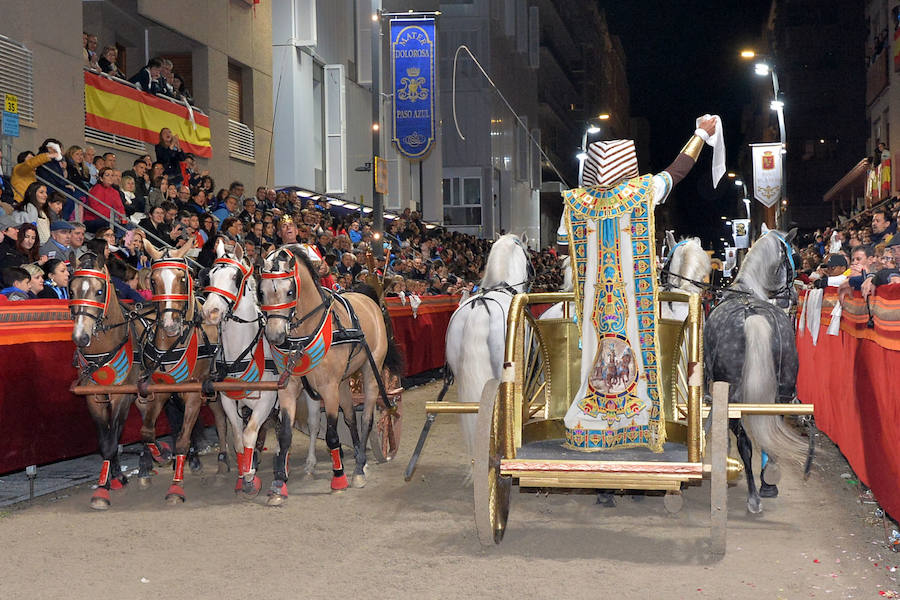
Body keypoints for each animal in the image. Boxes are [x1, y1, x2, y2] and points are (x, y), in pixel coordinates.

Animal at [71, 251, 152, 508]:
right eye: (71, 290)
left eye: (99, 292)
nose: (81, 336)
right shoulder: (94, 398)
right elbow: (106, 438)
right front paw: (114, 477)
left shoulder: (120, 397)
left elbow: (113, 438)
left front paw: (104, 488)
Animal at [142, 239, 229, 502]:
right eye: (153, 281)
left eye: (182, 278)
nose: (170, 325)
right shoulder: (160, 390)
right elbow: (147, 430)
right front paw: (159, 455)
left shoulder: (193, 394)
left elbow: (182, 439)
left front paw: (176, 487)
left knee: (222, 421)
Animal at [256, 246, 398, 490]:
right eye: (262, 293)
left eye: (290, 292)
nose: (275, 336)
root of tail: (368, 298)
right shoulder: (290, 387)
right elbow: (285, 434)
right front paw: (279, 482)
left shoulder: (328, 387)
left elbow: (332, 435)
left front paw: (339, 477)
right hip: (344, 381)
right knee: (350, 416)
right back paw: (359, 456)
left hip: (372, 370)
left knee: (367, 418)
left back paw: (360, 467)